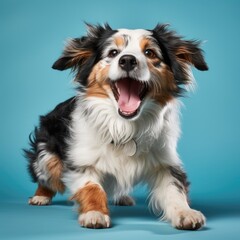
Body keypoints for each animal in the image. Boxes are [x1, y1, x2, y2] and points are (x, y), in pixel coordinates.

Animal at [24, 23, 208, 231]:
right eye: (113, 52)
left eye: (149, 52)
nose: (127, 60)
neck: (125, 126)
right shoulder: (81, 162)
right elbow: (92, 187)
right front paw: (94, 213)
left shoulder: (165, 162)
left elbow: (175, 189)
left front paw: (185, 212)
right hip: (46, 158)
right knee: (46, 176)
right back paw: (40, 196)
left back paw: (122, 197)